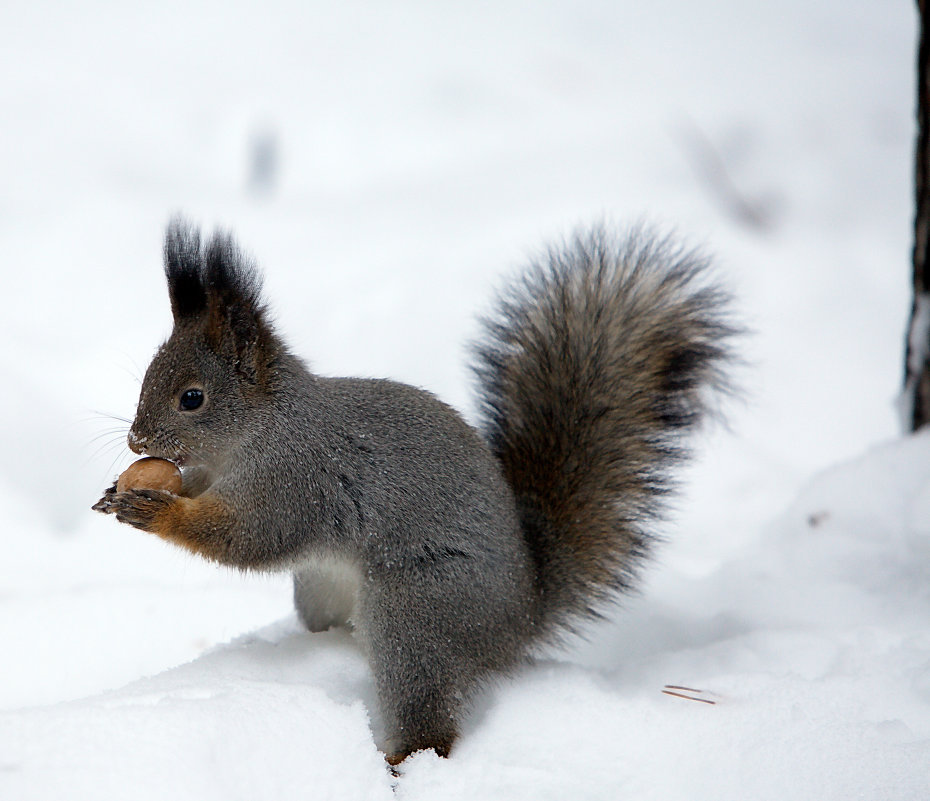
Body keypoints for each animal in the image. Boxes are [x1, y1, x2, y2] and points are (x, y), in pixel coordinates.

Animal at [92, 219, 732, 764]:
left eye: (192, 398)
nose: (135, 439)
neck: (260, 429)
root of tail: (519, 621)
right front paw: (118, 493)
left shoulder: (300, 481)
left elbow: (249, 537)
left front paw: (154, 509)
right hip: (323, 589)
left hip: (416, 611)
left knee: (429, 714)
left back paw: (403, 760)